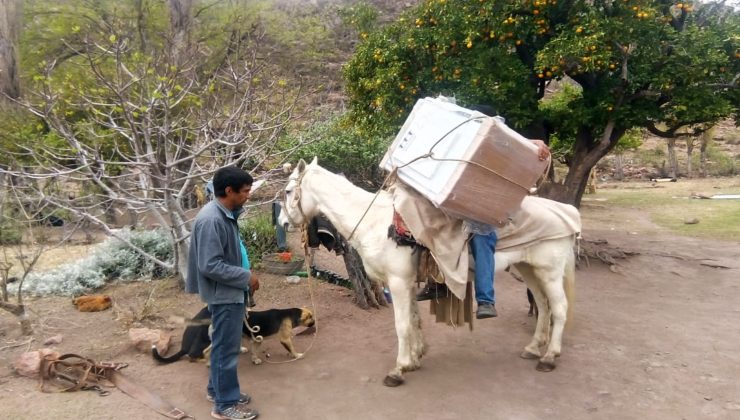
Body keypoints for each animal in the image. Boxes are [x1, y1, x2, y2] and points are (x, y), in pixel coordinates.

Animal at [284, 158, 580, 388]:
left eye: (287, 191)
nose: (283, 222)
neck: (376, 223)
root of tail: (566, 211)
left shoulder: (398, 283)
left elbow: (401, 325)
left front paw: (398, 369)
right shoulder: (406, 283)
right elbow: (414, 320)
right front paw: (415, 358)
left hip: (550, 272)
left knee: (559, 308)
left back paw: (549, 357)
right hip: (529, 269)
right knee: (543, 306)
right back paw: (533, 349)